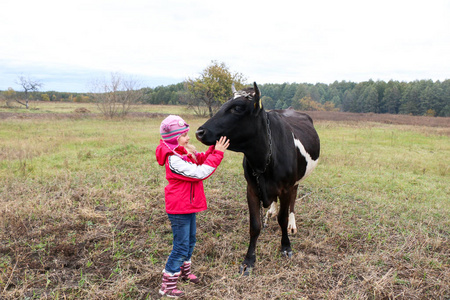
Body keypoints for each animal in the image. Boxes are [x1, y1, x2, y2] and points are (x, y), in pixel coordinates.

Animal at [197, 82, 320, 274]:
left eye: (237, 108)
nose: (200, 132)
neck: (264, 159)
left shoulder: (286, 187)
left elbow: (283, 219)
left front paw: (286, 246)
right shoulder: (252, 188)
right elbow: (255, 225)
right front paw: (249, 260)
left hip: (296, 180)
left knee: (293, 199)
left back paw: (292, 224)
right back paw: (271, 211)